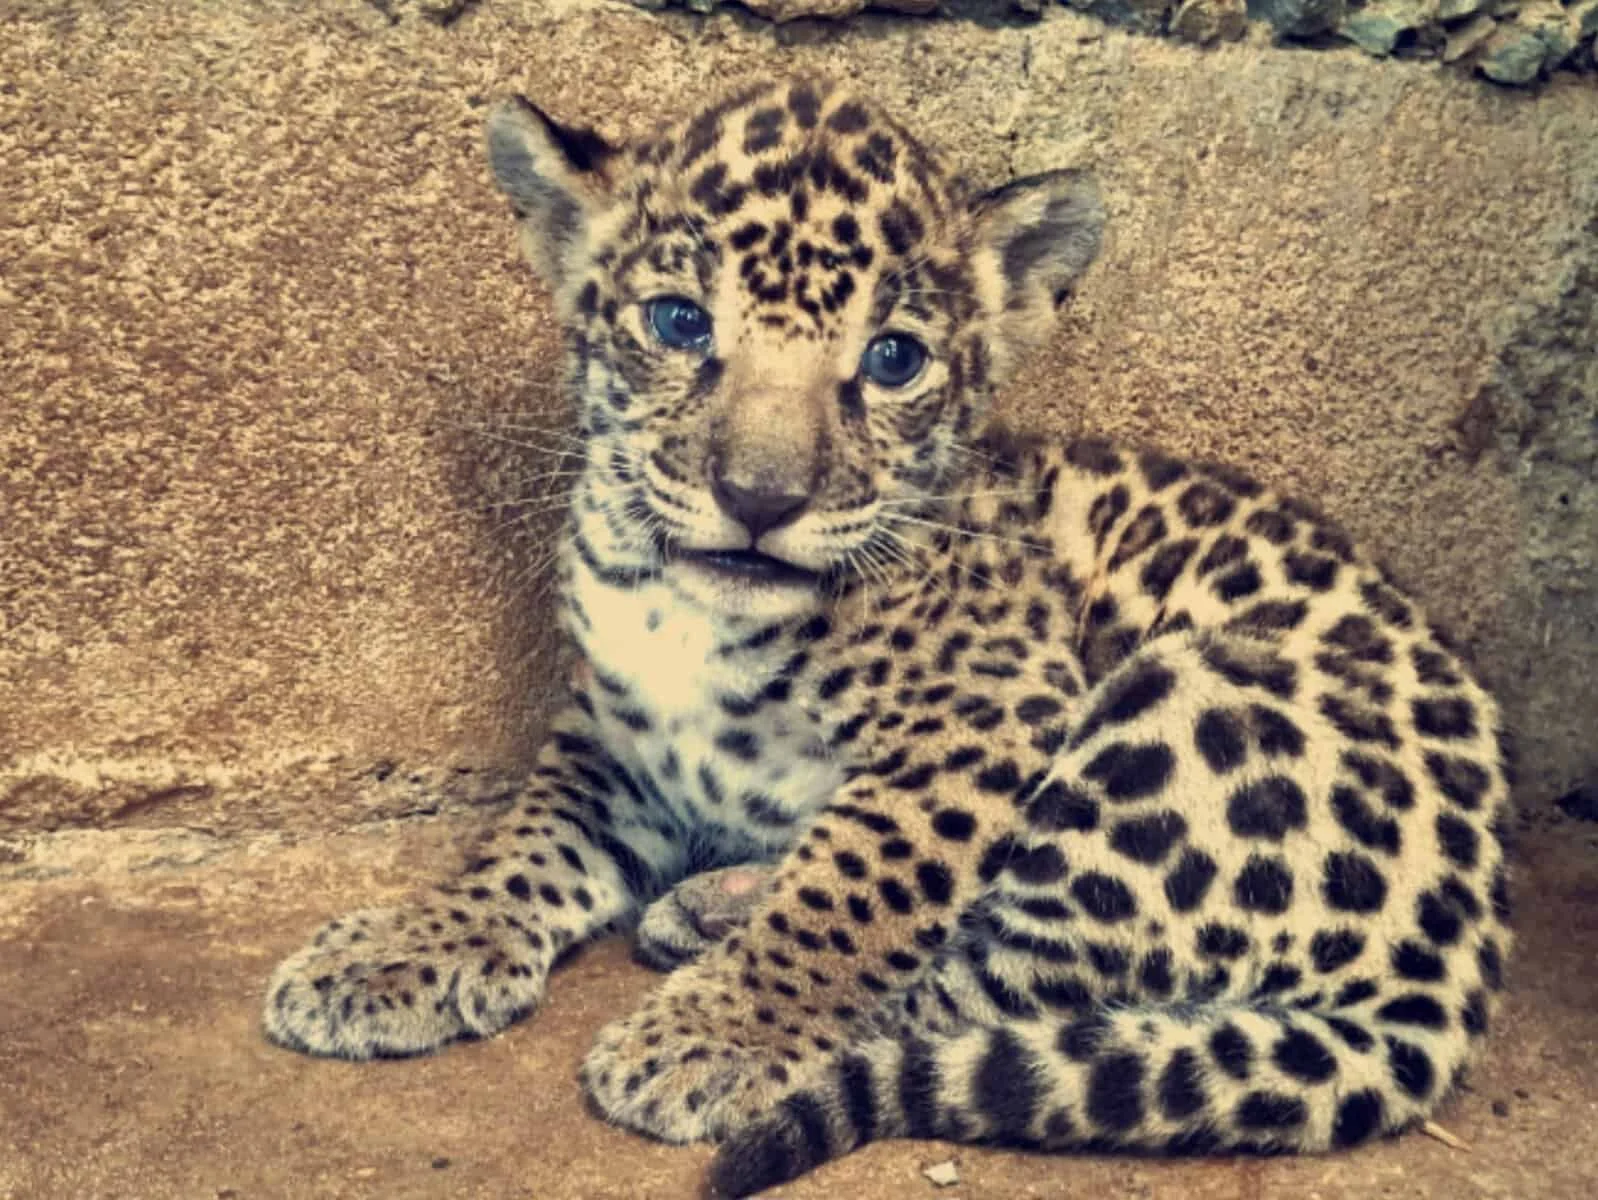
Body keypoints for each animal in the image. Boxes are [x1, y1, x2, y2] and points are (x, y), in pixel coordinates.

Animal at [263, 77, 1515, 1197]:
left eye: (892, 359)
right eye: (678, 323)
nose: (758, 498)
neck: (683, 614)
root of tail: (1464, 940)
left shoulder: (981, 726)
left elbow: (854, 895)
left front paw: (719, 1034)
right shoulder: (606, 729)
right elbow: (524, 843)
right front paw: (408, 948)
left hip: (1187, 700)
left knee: (996, 990)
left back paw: (710, 953)